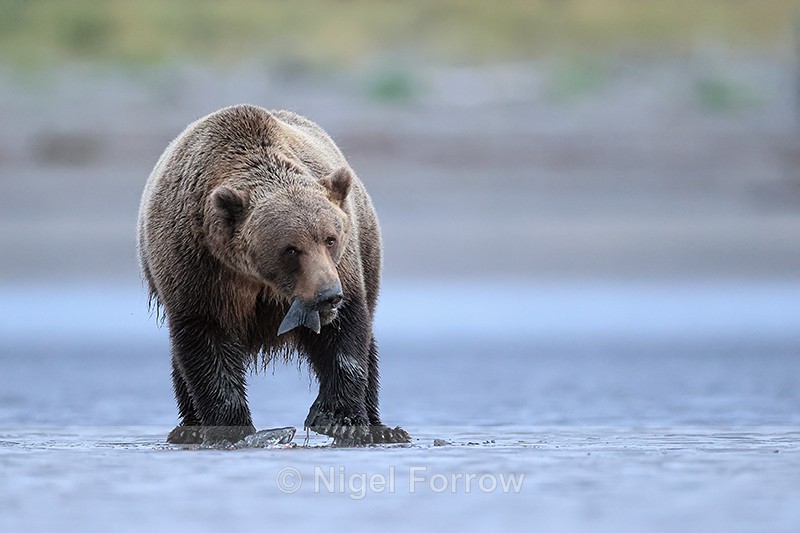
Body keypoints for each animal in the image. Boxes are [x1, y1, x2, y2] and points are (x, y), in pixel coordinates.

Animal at [137, 104, 410, 446]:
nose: (328, 295)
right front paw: (230, 427)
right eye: (291, 249)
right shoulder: (198, 267)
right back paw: (188, 428)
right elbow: (207, 343)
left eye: (330, 239)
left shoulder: (344, 268)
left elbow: (345, 336)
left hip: (368, 246)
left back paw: (383, 428)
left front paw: (339, 420)